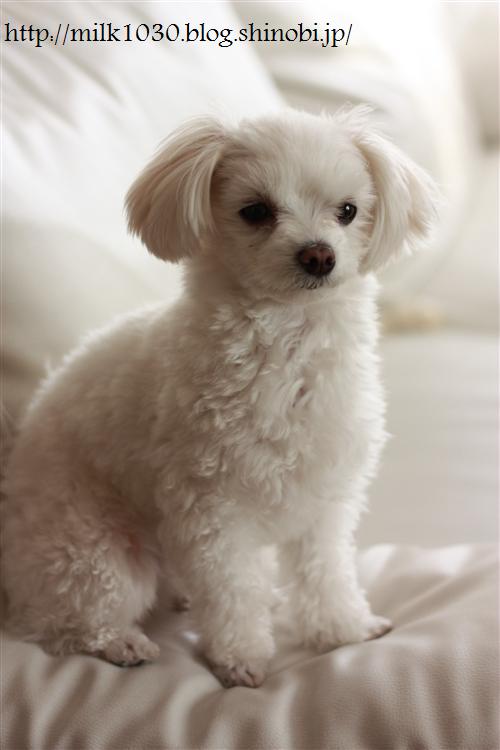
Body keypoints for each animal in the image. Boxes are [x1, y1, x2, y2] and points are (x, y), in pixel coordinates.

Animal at [1, 108, 437, 687]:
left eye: (348, 211)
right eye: (255, 211)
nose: (318, 255)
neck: (286, 348)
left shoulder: (325, 500)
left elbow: (326, 572)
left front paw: (343, 630)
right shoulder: (211, 510)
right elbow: (232, 591)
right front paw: (241, 659)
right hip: (97, 552)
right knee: (60, 621)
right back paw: (120, 641)